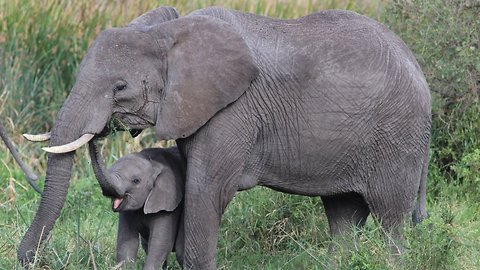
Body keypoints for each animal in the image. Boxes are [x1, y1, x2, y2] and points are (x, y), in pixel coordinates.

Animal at [18, 5, 432, 268]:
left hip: (398, 136)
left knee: (390, 218)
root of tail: (418, 66)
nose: (27, 259)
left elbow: (207, 187)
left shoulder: (233, 111)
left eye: (120, 87)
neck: (170, 34)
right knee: (343, 214)